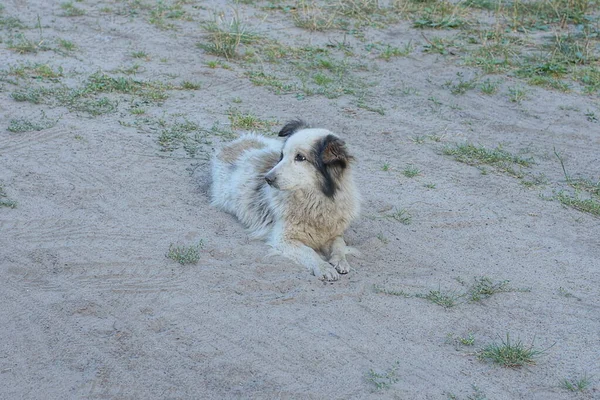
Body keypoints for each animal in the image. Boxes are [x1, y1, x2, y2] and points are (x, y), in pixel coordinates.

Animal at [212, 119, 360, 282]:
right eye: (282, 155)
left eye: (300, 157)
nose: (267, 178)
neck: (315, 202)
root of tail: (239, 141)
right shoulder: (283, 239)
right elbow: (309, 252)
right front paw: (323, 267)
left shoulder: (334, 233)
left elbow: (339, 244)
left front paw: (340, 260)